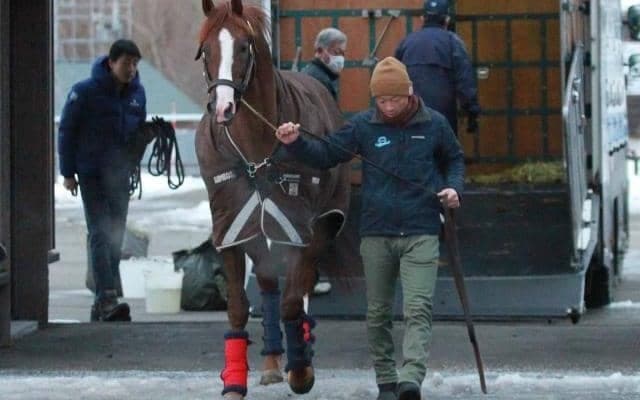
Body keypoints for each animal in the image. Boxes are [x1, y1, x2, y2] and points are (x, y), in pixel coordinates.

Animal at [194, 0, 350, 398]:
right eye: (206, 50)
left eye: (243, 46)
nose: (222, 108)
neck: (256, 149)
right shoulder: (232, 225)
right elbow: (238, 306)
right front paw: (235, 382)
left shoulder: (297, 226)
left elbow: (293, 302)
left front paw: (302, 371)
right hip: (256, 226)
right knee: (267, 284)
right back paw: (271, 363)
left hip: (320, 222)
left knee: (300, 285)